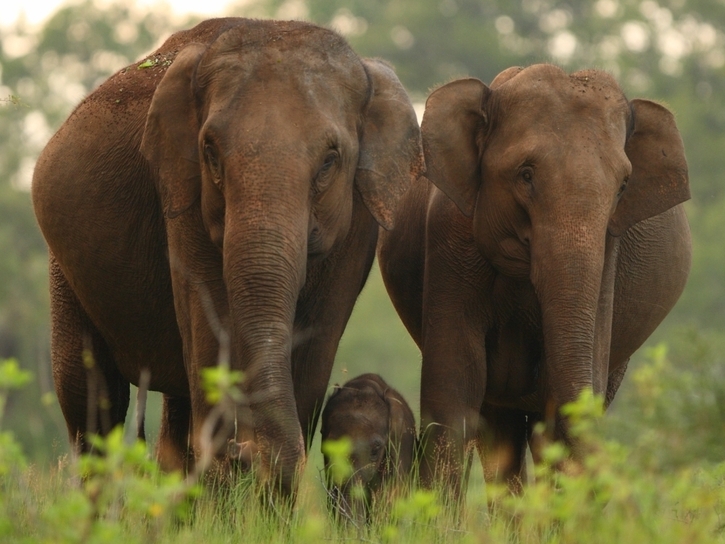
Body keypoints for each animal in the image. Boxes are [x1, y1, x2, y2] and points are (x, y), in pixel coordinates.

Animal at [34, 19, 424, 500]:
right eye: (211, 152)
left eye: (330, 160)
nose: (245, 451)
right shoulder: (183, 199)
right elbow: (208, 321)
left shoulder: (357, 226)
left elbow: (315, 350)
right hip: (64, 266)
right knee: (91, 393)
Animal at [378, 62, 692, 498]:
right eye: (525, 175)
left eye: (623, 187)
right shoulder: (450, 239)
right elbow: (455, 394)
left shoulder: (606, 259)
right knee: (499, 428)